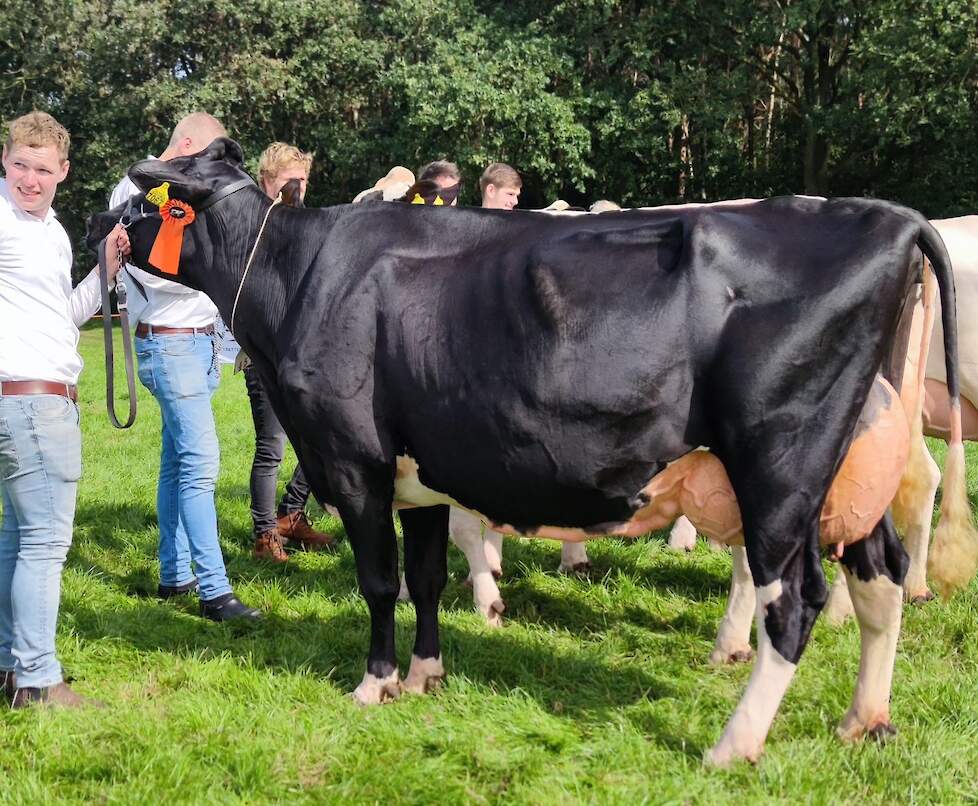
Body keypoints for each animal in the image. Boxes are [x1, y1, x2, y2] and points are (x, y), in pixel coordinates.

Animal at [87, 140, 972, 772]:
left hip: (781, 470)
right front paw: (427, 674)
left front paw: (375, 681)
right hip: (850, 471)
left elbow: (379, 583)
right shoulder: (419, 475)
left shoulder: (354, 461)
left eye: (141, 201)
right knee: (880, 579)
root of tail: (888, 217)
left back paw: (734, 744)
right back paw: (864, 720)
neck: (297, 275)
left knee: (794, 603)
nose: (95, 233)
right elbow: (426, 576)